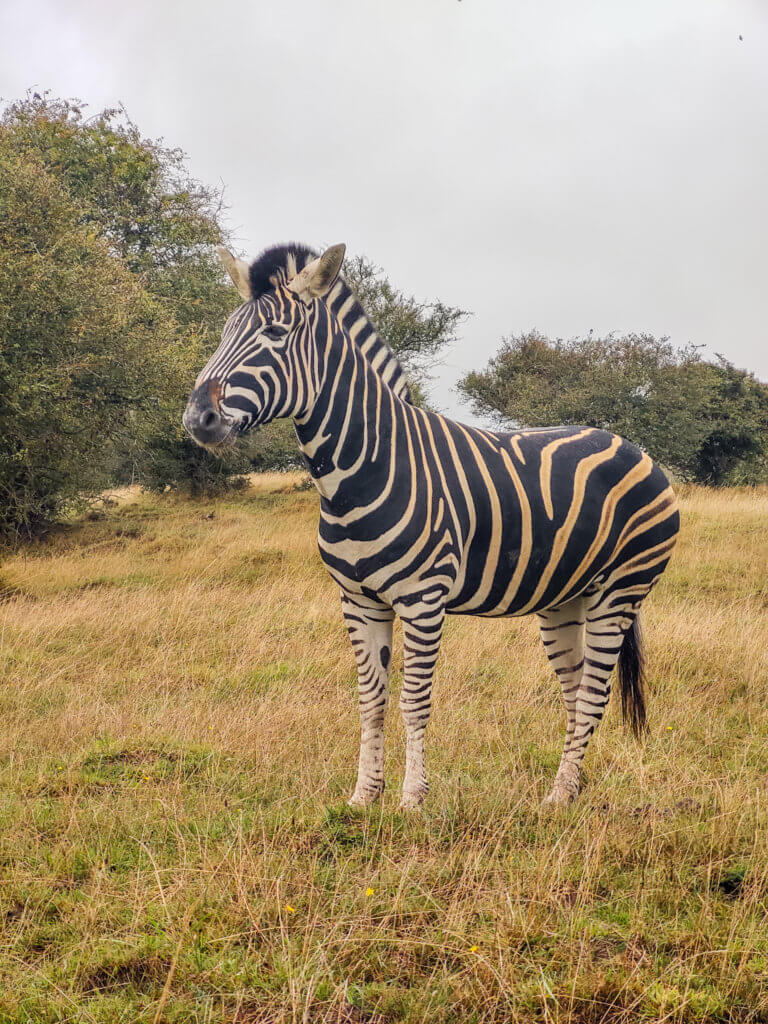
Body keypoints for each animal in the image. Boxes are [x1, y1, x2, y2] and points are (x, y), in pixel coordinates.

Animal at [185, 241, 679, 806]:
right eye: (225, 331)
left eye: (274, 333)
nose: (197, 418)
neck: (362, 470)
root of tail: (632, 446)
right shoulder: (358, 601)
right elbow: (370, 700)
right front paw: (363, 798)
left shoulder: (423, 599)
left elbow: (413, 700)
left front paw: (411, 801)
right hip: (566, 597)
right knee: (576, 693)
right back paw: (569, 791)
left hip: (620, 589)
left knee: (595, 692)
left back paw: (556, 799)